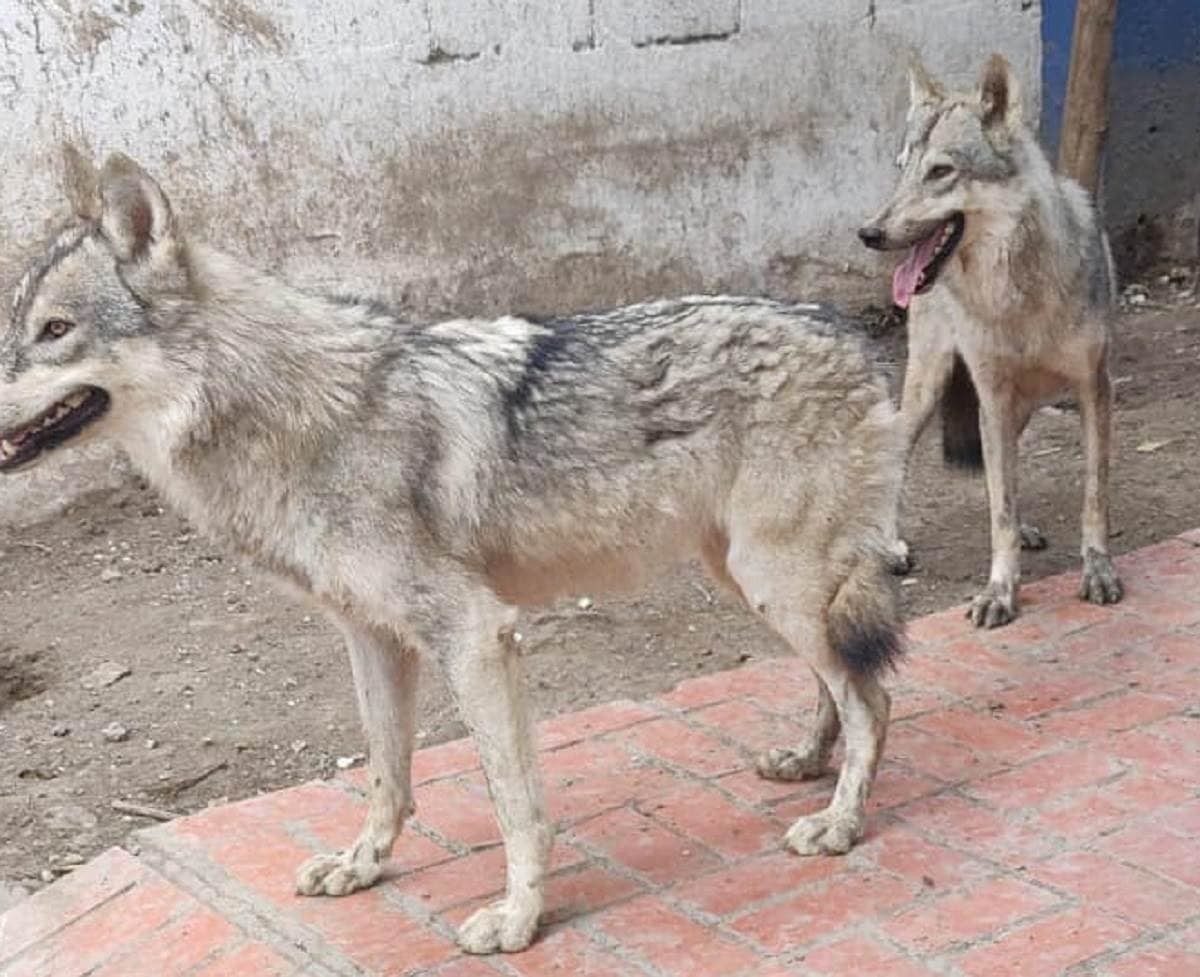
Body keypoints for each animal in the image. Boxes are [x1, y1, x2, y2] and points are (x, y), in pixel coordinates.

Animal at [0, 153, 902, 955]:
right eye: (15, 331)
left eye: (56, 331)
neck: (286, 412)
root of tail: (849, 330)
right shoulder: (371, 636)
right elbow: (386, 774)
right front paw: (363, 865)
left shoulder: (474, 635)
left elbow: (514, 801)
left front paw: (519, 918)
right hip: (754, 581)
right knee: (837, 683)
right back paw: (806, 762)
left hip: (776, 582)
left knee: (873, 695)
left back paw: (841, 820)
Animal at [859, 53, 1118, 628]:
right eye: (903, 167)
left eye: (940, 172)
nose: (868, 233)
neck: (1016, 295)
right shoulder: (994, 397)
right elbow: (1000, 507)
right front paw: (1000, 591)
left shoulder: (1094, 389)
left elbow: (1091, 494)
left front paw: (1098, 570)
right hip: (929, 387)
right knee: (900, 459)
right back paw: (890, 545)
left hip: (1012, 407)